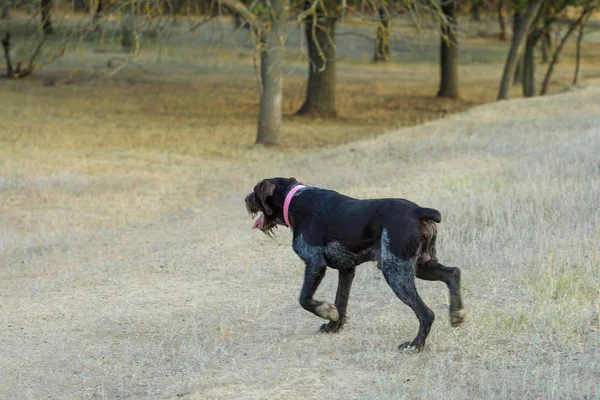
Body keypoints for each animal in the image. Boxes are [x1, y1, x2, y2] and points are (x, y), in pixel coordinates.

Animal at [244, 177, 464, 350]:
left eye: (255, 191)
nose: (245, 199)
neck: (294, 199)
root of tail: (418, 211)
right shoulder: (346, 269)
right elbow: (341, 301)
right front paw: (334, 325)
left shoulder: (315, 263)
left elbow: (304, 298)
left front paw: (326, 312)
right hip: (420, 265)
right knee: (453, 272)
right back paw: (456, 313)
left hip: (395, 272)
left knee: (426, 313)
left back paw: (415, 345)